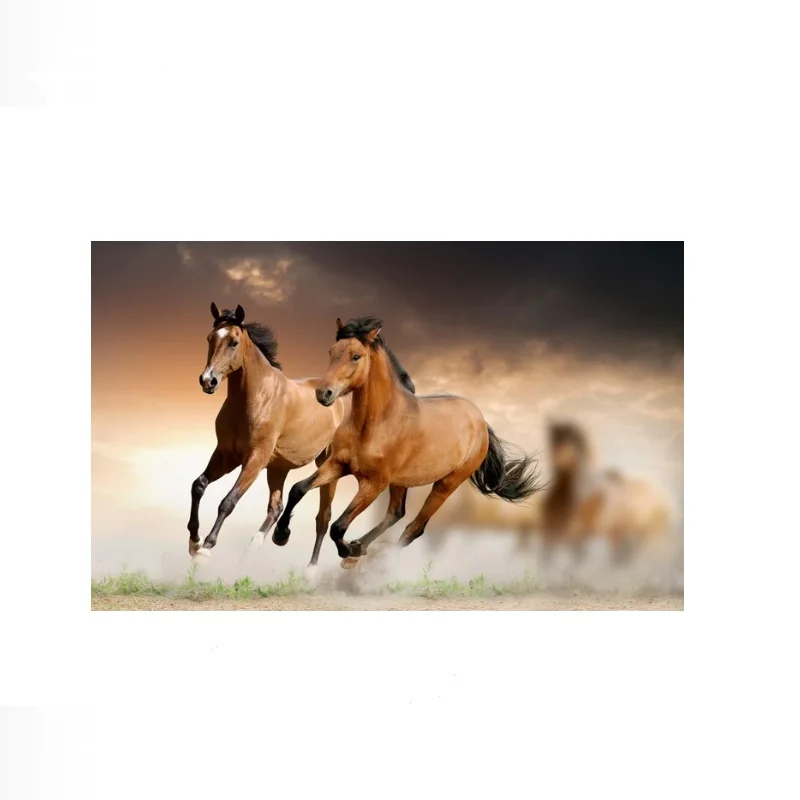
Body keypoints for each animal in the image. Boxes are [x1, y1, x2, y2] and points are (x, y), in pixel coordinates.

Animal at [187, 303, 345, 565]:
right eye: (210, 338)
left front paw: (205, 549)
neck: (256, 398)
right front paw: (194, 541)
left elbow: (228, 502)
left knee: (323, 518)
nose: (208, 381)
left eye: (233, 342)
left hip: (327, 466)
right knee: (276, 507)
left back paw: (309, 569)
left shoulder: (255, 459)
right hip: (278, 468)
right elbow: (198, 485)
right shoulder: (226, 455)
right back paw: (258, 545)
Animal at [271, 316, 544, 568]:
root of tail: (480, 422)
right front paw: (281, 535)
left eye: (356, 356)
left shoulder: (373, 484)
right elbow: (298, 489)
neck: (375, 424)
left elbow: (338, 526)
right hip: (401, 482)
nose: (323, 393)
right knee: (396, 513)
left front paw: (347, 550)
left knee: (414, 527)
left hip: (446, 484)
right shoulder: (338, 464)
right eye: (331, 351)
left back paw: (366, 560)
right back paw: (360, 548)